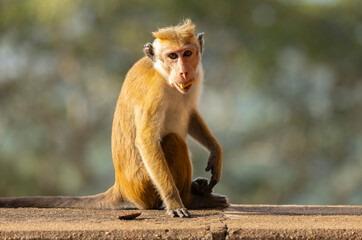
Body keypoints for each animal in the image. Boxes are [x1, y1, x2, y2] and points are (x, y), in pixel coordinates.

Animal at [0, 18, 229, 218]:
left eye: (187, 53)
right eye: (172, 56)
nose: (183, 71)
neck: (164, 76)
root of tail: (121, 187)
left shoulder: (196, 77)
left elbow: (191, 115)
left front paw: (216, 151)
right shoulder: (154, 93)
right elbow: (146, 142)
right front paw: (174, 202)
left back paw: (197, 189)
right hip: (144, 186)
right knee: (173, 142)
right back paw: (192, 199)